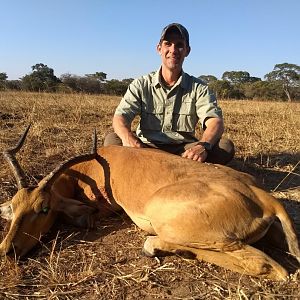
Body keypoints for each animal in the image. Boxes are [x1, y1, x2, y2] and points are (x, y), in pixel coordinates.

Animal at [0, 125, 300, 280]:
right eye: (14, 206)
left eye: (44, 208)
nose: (7, 250)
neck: (94, 165)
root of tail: (263, 196)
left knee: (269, 267)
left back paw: (161, 247)